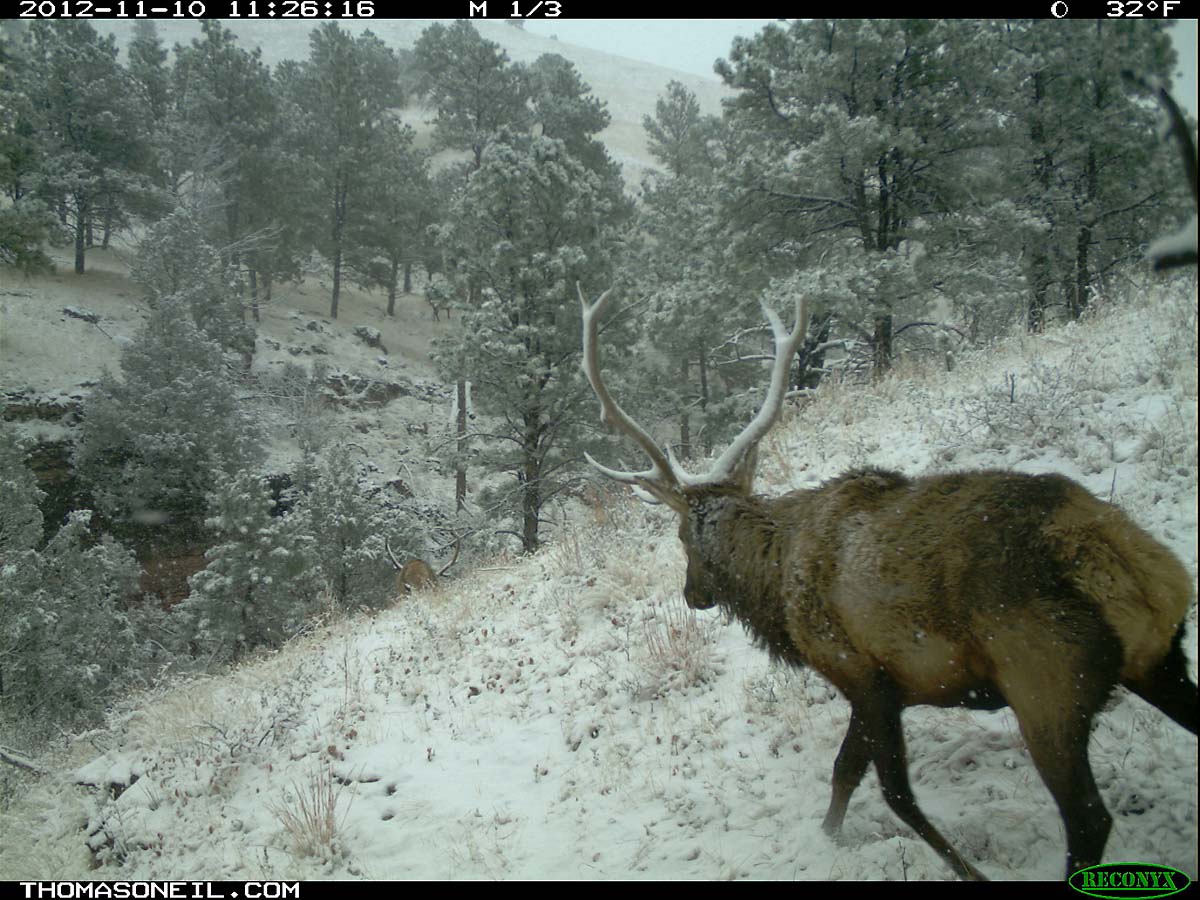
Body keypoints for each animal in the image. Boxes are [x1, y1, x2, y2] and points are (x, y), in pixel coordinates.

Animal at [579, 285, 1197, 881]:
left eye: (683, 537)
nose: (693, 595)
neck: (778, 588)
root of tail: (1122, 559)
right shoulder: (884, 687)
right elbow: (851, 773)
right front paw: (831, 836)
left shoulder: (863, 673)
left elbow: (884, 788)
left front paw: (962, 871)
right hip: (1157, 661)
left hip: (1046, 683)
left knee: (1089, 818)